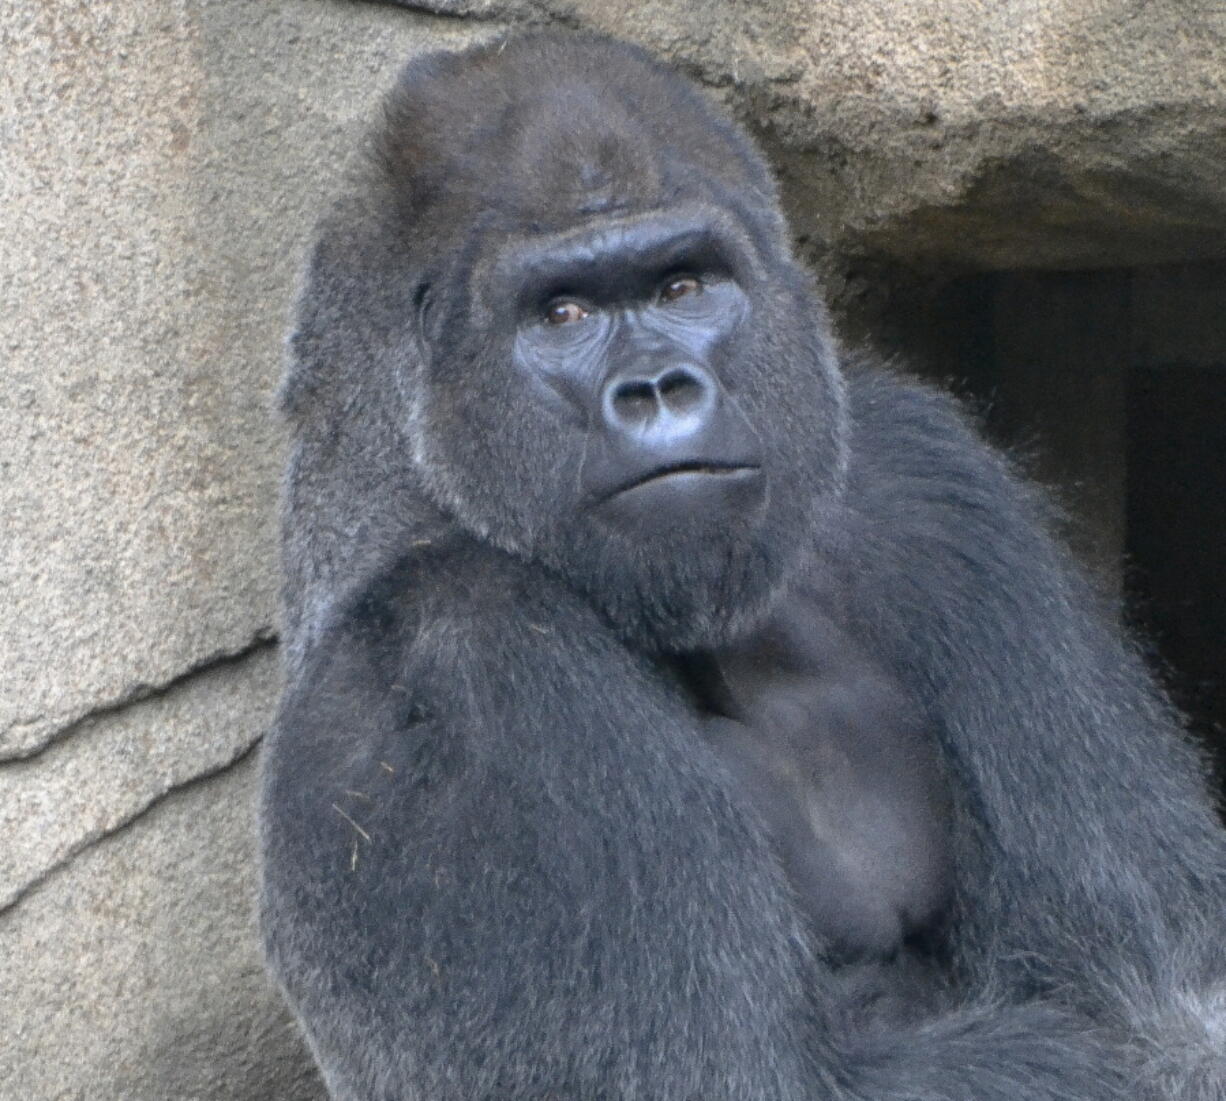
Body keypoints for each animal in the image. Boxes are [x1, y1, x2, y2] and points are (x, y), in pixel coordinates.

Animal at [258, 30, 1226, 1093]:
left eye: (683, 287)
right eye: (561, 314)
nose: (657, 387)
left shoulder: (920, 484)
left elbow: (1169, 974)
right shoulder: (464, 650)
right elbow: (745, 1074)